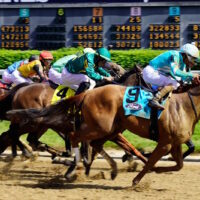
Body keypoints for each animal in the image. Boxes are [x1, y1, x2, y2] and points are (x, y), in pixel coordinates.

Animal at [7, 83, 200, 186]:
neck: (185, 106)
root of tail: (88, 93)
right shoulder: (165, 142)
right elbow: (150, 161)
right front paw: (137, 178)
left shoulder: (174, 143)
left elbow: (178, 165)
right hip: (100, 127)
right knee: (75, 136)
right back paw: (70, 164)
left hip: (111, 128)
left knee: (94, 143)